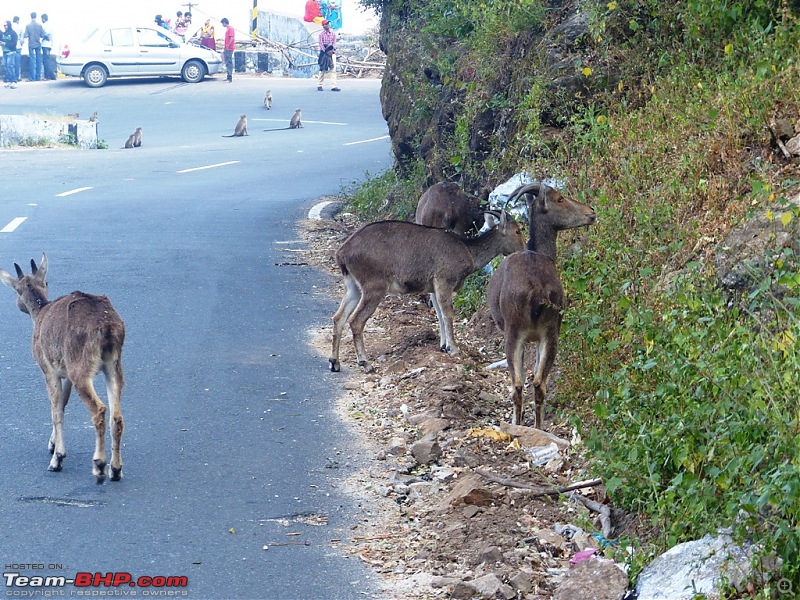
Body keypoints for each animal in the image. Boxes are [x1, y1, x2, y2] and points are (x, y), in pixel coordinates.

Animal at [0, 254, 126, 482]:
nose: (20, 304)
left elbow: (55, 407)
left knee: (100, 409)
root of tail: (108, 328)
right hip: (113, 365)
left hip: (81, 368)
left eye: (16, 290)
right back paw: (116, 469)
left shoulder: (48, 368)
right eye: (46, 281)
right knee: (117, 416)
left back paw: (99, 465)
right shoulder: (64, 371)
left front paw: (57, 457)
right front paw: (52, 444)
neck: (39, 312)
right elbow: (63, 402)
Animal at [328, 216, 528, 372]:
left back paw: (334, 362)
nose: (525, 250)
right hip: (374, 286)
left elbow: (439, 314)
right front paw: (454, 349)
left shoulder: (432, 287)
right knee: (356, 320)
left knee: (339, 317)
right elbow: (448, 313)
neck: (467, 250)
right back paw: (365, 363)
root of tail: (342, 253)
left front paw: (444, 346)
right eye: (517, 231)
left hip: (353, 286)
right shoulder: (444, 280)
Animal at [484, 183, 596, 426]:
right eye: (560, 199)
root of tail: (537, 292)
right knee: (537, 383)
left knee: (520, 384)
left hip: (516, 332)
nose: (591, 211)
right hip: (550, 331)